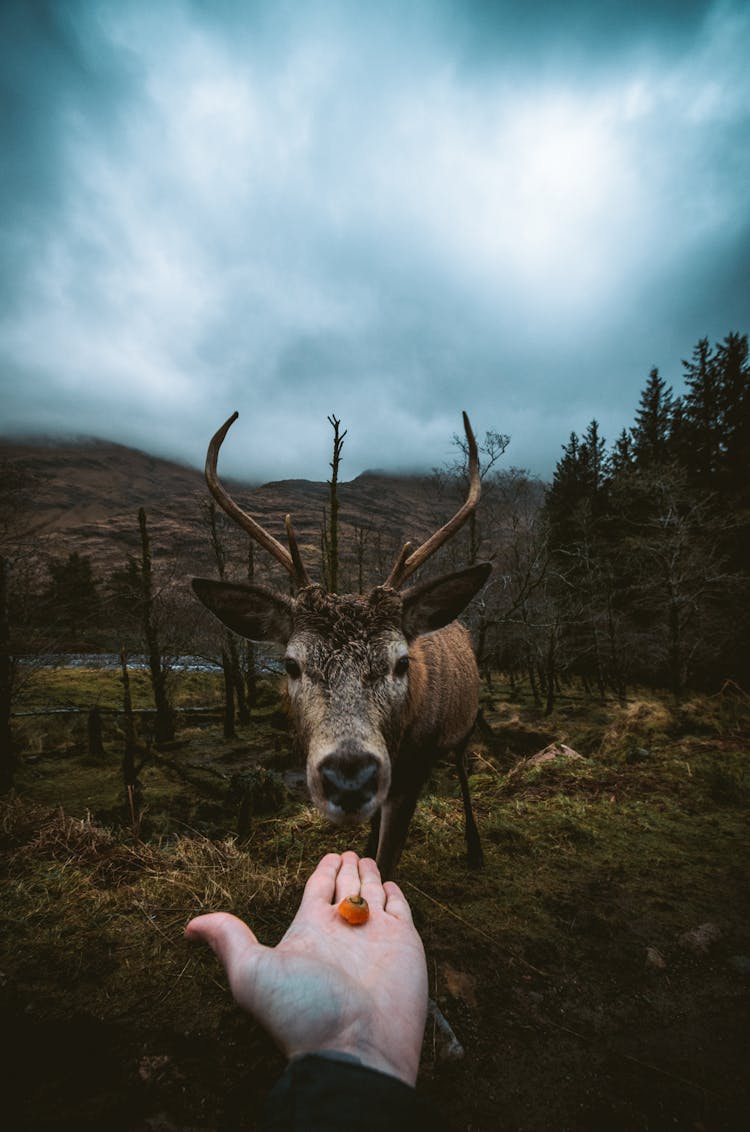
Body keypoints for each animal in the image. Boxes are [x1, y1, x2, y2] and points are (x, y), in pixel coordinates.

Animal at [192, 412, 493, 878]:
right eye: (291, 664)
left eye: (401, 662)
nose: (349, 777)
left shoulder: (413, 772)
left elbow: (386, 864)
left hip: (466, 724)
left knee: (462, 770)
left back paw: (475, 848)